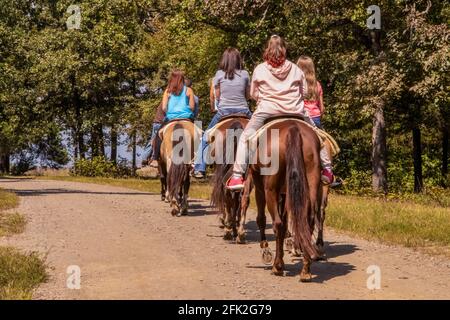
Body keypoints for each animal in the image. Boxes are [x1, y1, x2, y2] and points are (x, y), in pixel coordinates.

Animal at [237, 116, 322, 282]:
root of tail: (292, 129)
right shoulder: (285, 193)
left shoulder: (261, 188)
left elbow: (261, 219)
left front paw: (265, 250)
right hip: (311, 184)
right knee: (307, 222)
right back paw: (305, 269)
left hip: (270, 190)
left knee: (277, 223)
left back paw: (277, 266)